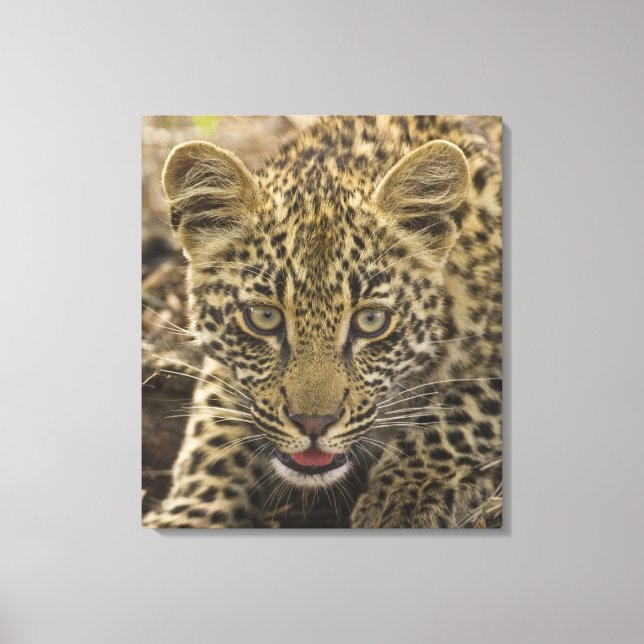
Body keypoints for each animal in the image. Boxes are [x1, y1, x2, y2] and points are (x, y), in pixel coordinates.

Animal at [143, 115, 502, 529]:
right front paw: (186, 515)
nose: (313, 424)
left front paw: (404, 499)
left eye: (371, 320)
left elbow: (463, 410)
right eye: (264, 317)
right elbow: (211, 434)